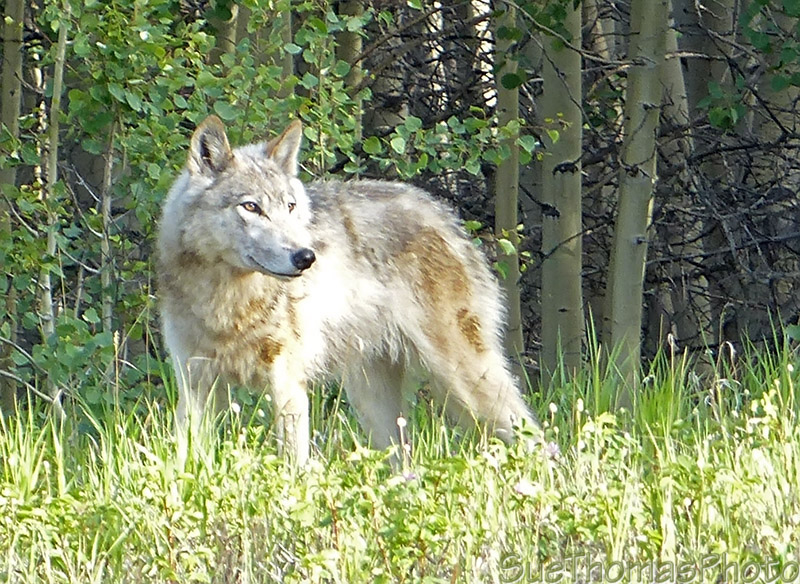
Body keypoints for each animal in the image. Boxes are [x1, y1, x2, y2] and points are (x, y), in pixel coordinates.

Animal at [157, 114, 538, 465]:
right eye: (251, 207)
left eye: (290, 207)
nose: (305, 257)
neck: (227, 300)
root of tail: (445, 215)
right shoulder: (193, 383)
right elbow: (184, 460)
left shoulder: (287, 382)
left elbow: (292, 465)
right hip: (375, 404)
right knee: (406, 459)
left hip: (465, 381)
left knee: (533, 433)